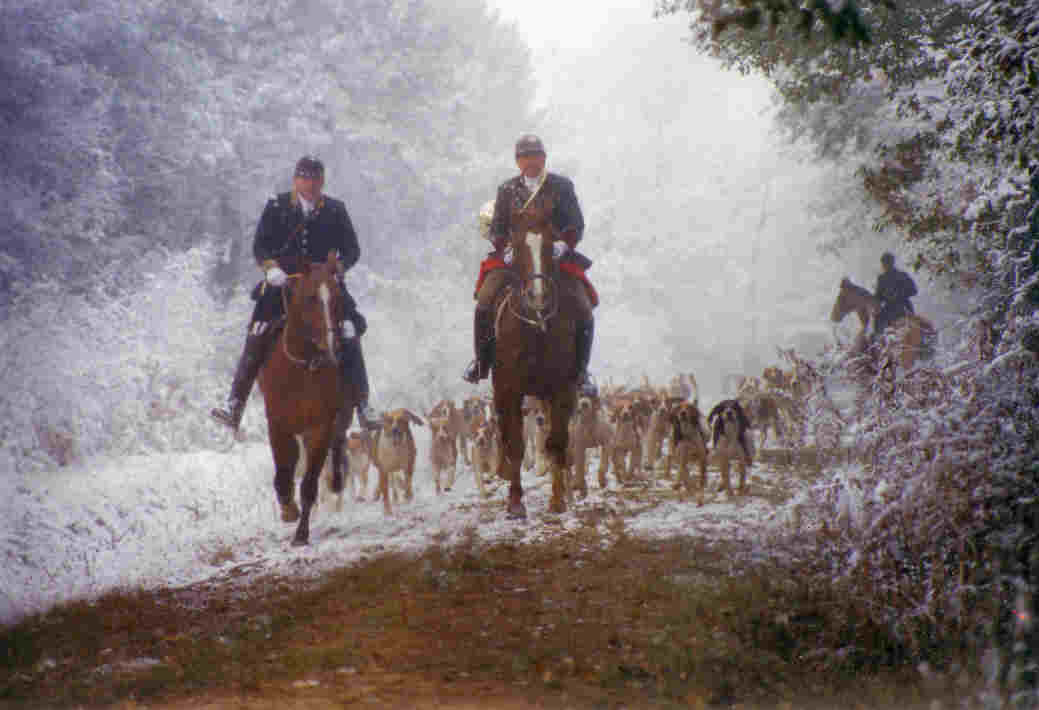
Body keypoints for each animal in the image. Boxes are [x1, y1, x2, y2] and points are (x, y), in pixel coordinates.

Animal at [257, 252, 359, 548]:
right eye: (311, 297)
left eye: (337, 296)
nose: (332, 346)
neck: (303, 367)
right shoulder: (278, 425)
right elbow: (283, 473)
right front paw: (288, 509)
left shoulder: (319, 428)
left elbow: (310, 484)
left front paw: (301, 534)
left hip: (339, 417)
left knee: (337, 447)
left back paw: (336, 480)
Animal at [488, 207, 581, 519]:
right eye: (517, 246)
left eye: (551, 244)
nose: (537, 295)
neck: (535, 328)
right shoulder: (508, 391)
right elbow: (515, 444)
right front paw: (516, 502)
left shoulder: (562, 389)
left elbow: (556, 441)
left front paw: (558, 500)